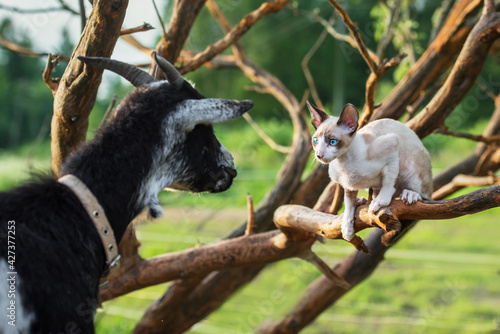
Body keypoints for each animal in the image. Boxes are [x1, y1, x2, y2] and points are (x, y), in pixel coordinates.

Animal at [306, 101, 432, 240]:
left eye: (332, 141)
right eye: (315, 140)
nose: (319, 155)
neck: (344, 163)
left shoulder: (392, 144)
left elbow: (389, 183)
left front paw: (380, 202)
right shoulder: (348, 184)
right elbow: (348, 203)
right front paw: (347, 227)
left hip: (413, 167)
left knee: (425, 195)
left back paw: (410, 194)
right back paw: (362, 201)